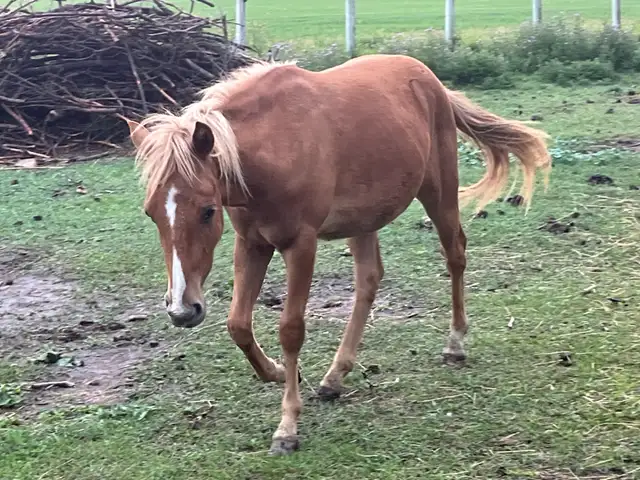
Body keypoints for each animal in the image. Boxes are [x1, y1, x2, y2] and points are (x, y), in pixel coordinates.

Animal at [126, 54, 551, 455]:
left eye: (207, 211)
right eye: (150, 213)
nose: (183, 310)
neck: (274, 146)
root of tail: (430, 80)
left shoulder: (301, 244)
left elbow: (291, 330)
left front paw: (287, 428)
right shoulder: (252, 243)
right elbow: (238, 325)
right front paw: (277, 373)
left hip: (439, 193)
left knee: (455, 256)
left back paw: (455, 344)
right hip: (364, 221)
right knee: (369, 280)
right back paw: (334, 377)